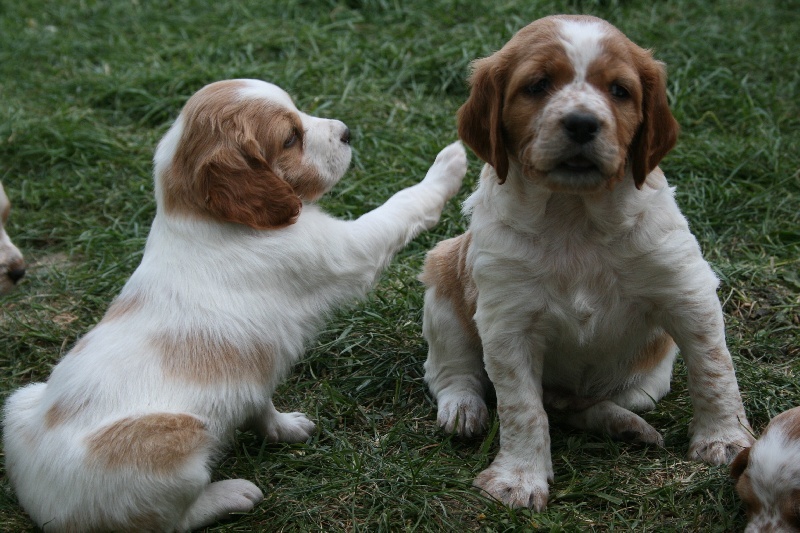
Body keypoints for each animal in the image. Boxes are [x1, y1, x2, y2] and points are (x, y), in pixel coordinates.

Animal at [3, 79, 467, 531]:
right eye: (290, 138)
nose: (347, 132)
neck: (203, 219)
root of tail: (37, 502)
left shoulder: (249, 374)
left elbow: (257, 401)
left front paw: (284, 428)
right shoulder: (345, 250)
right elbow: (400, 206)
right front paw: (448, 165)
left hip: (21, 399)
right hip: (176, 439)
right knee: (171, 520)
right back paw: (231, 495)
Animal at [420, 15, 753, 510]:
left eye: (619, 90)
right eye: (537, 85)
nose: (581, 123)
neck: (574, 214)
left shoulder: (687, 292)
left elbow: (714, 370)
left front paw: (726, 440)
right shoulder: (507, 322)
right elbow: (522, 408)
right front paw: (519, 480)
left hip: (647, 380)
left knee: (578, 406)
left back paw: (626, 425)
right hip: (444, 278)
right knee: (453, 370)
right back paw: (463, 409)